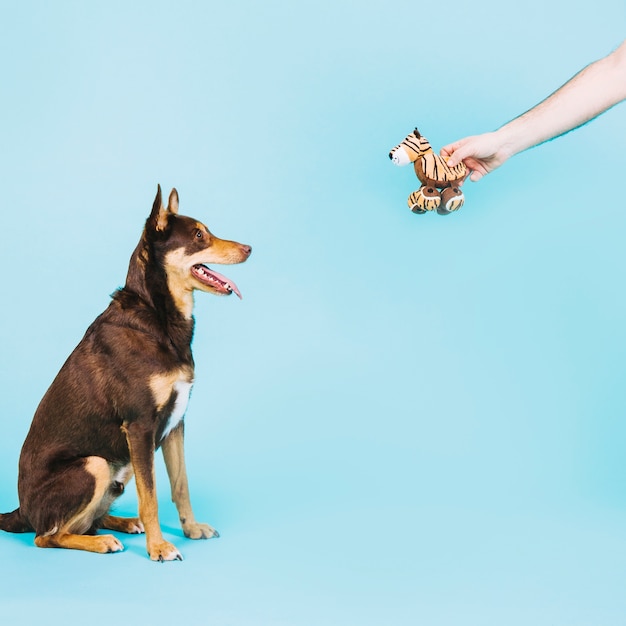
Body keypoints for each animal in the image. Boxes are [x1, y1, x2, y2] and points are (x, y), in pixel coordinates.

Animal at [0, 185, 251, 560]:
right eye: (198, 236)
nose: (250, 249)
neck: (159, 316)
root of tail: (21, 511)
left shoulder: (175, 424)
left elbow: (181, 486)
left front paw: (191, 530)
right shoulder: (140, 425)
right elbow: (151, 498)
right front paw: (159, 547)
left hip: (121, 461)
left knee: (88, 520)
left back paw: (123, 523)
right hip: (96, 464)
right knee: (48, 535)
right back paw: (102, 541)